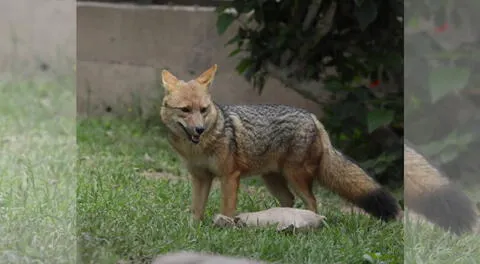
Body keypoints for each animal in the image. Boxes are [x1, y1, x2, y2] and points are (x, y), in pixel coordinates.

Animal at [159, 65, 400, 222]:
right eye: (185, 110)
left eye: (203, 110)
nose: (199, 129)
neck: (198, 148)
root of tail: (313, 118)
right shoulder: (200, 178)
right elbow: (196, 210)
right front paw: (194, 231)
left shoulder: (230, 176)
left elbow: (227, 209)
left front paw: (225, 227)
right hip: (273, 180)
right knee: (290, 200)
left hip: (295, 177)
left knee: (312, 202)